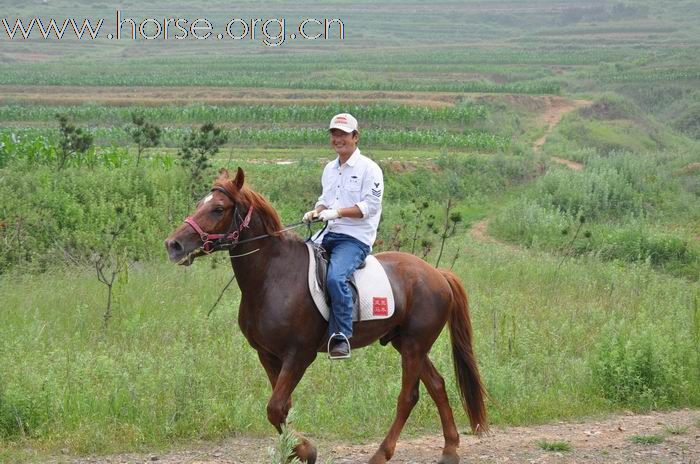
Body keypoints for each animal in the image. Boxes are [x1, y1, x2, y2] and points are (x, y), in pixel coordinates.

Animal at [167, 169, 490, 462]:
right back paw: (450, 450)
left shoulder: (299, 354)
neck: (272, 274)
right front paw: (295, 450)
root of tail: (437, 274)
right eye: (200, 203)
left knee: (408, 397)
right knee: (437, 385)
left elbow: (275, 407)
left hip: (414, 344)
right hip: (406, 343)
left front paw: (306, 451)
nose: (173, 245)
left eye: (218, 208)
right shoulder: (267, 354)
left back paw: (381, 454)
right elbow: (281, 407)